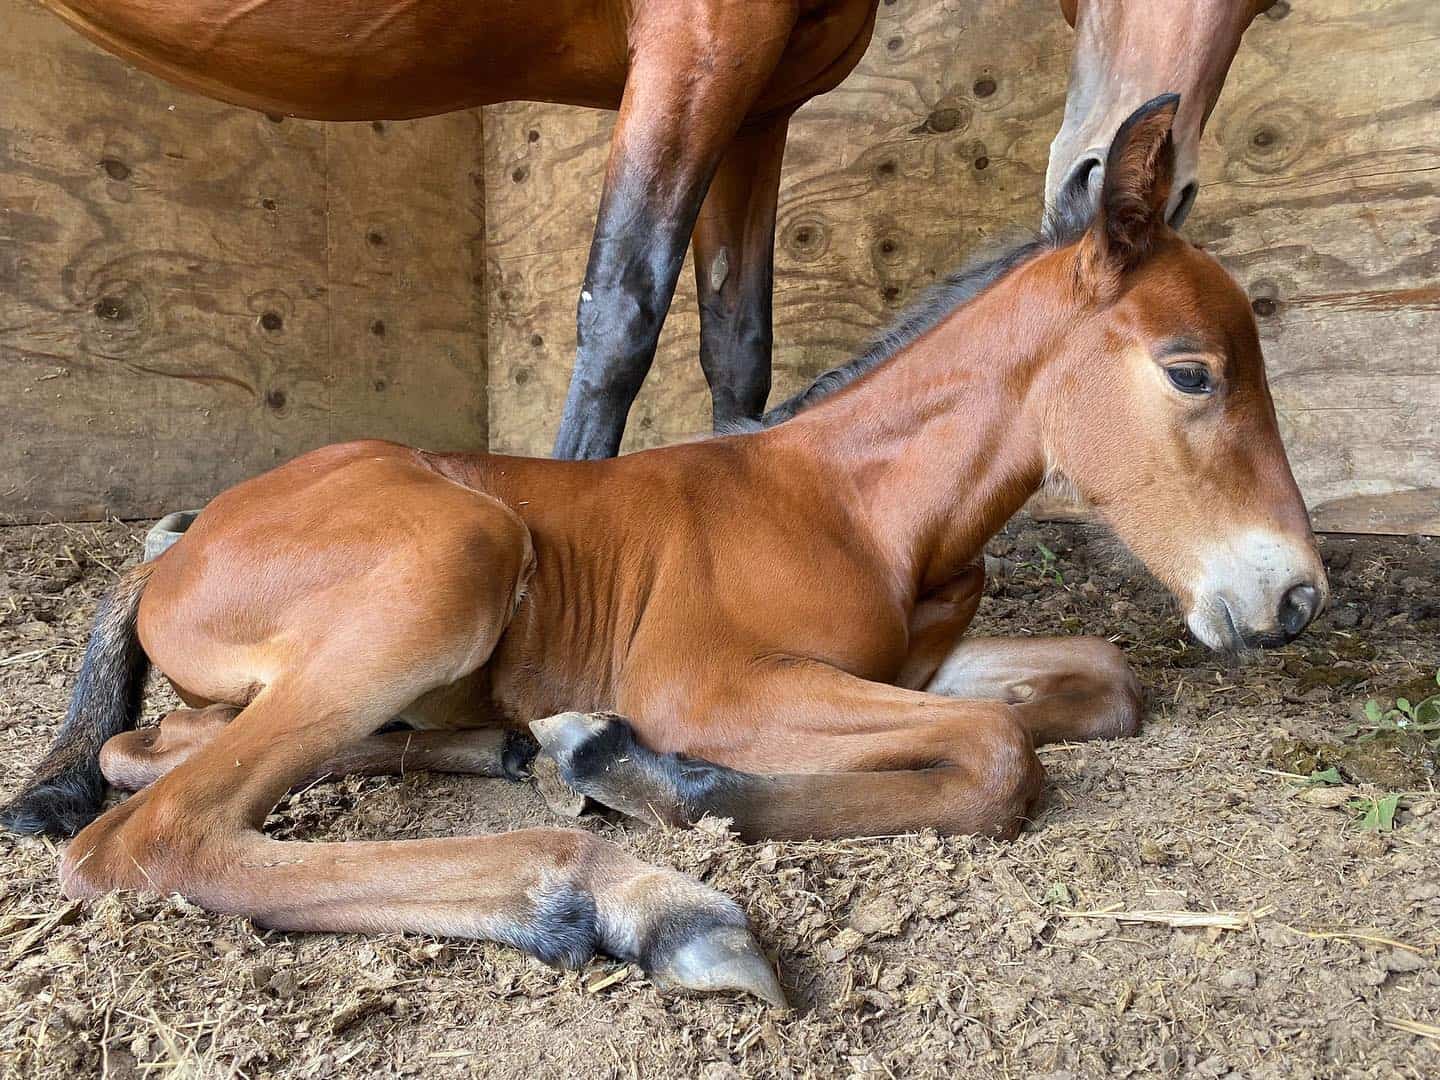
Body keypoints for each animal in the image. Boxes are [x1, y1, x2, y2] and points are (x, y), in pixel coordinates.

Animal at [2, 98, 1326, 1006]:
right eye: (1192, 371)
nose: (1296, 599)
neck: (856, 504)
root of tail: (180, 542)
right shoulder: (709, 682)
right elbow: (1001, 756)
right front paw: (648, 774)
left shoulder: (903, 665)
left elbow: (1099, 681)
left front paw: (605, 756)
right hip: (458, 552)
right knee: (151, 832)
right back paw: (627, 894)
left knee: (153, 747)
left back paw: (510, 749)